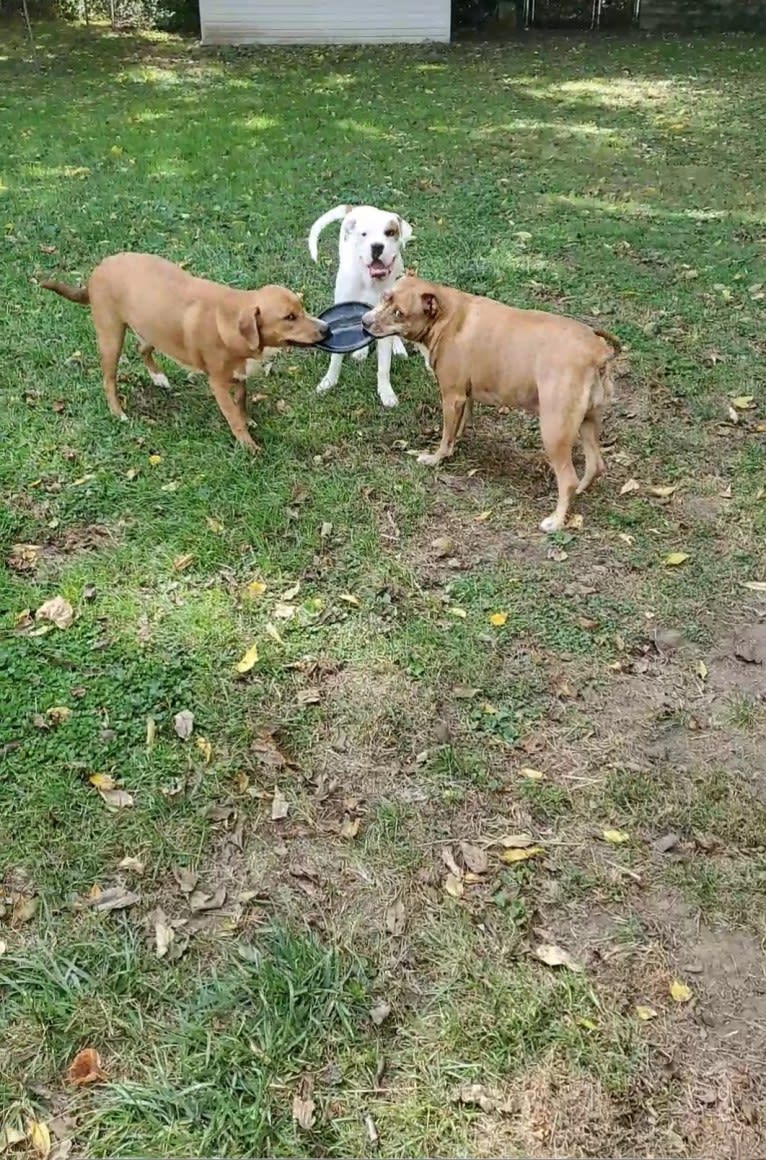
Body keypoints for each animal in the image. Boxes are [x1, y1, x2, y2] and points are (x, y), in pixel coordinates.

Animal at [41, 251, 329, 450]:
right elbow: (233, 416)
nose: (326, 329)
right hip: (111, 337)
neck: (232, 318)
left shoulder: (239, 376)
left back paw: (158, 377)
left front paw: (247, 419)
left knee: (141, 347)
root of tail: (99, 268)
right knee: (109, 379)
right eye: (289, 317)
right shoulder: (218, 383)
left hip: (154, 329)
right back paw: (118, 412)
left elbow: (241, 401)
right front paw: (249, 445)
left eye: (301, 309)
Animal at [306, 204, 415, 408]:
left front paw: (386, 392)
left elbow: (384, 366)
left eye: (390, 232)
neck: (370, 281)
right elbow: (335, 356)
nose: (377, 246)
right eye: (364, 234)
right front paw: (329, 381)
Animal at [362, 273, 617, 531]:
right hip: (588, 421)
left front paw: (436, 458)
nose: (364, 321)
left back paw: (556, 520)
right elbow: (456, 428)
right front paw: (454, 445)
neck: (446, 317)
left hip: (554, 430)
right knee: (595, 465)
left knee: (568, 480)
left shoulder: (451, 396)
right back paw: (580, 492)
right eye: (384, 297)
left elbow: (445, 436)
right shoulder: (463, 397)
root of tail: (598, 352)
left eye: (399, 313)